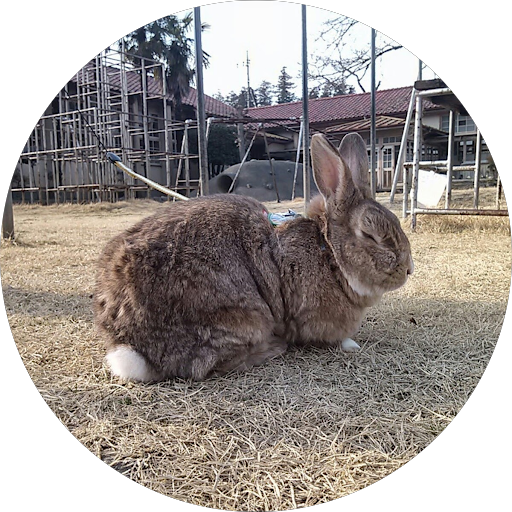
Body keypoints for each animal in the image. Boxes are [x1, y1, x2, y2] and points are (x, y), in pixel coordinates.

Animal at [93, 134, 412, 382]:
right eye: (371, 235)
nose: (408, 269)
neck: (328, 252)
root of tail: (127, 342)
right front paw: (351, 344)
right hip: (242, 316)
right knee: (208, 366)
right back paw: (272, 348)